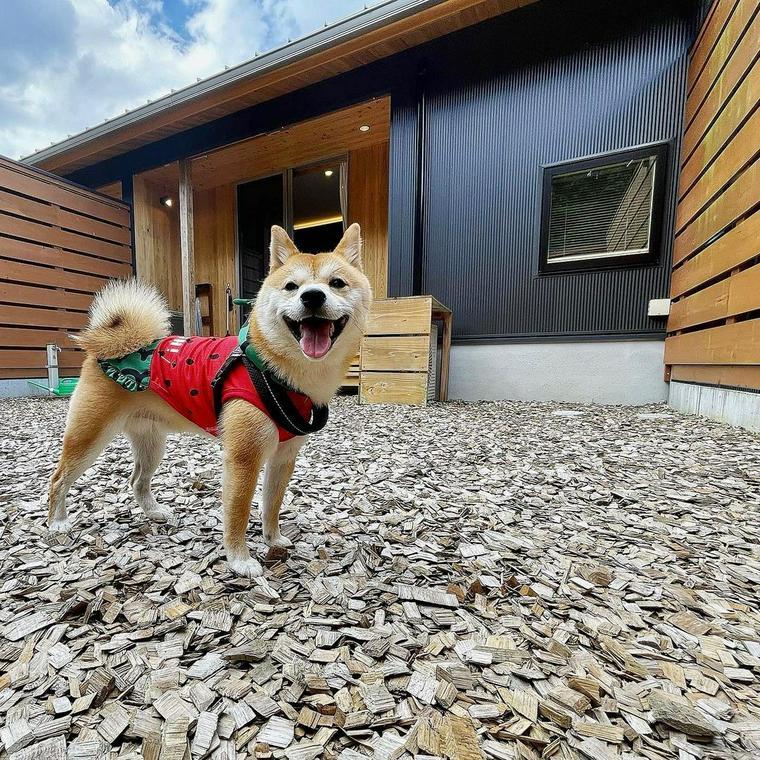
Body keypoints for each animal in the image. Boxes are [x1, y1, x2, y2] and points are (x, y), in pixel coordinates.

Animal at [46, 224, 372, 576]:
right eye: (291, 287)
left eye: (336, 283)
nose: (312, 296)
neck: (275, 369)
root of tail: (109, 346)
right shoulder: (243, 459)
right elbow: (238, 514)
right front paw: (240, 560)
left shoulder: (283, 457)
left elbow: (271, 506)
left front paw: (273, 539)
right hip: (89, 437)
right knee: (58, 478)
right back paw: (57, 523)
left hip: (151, 442)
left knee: (137, 481)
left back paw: (154, 513)